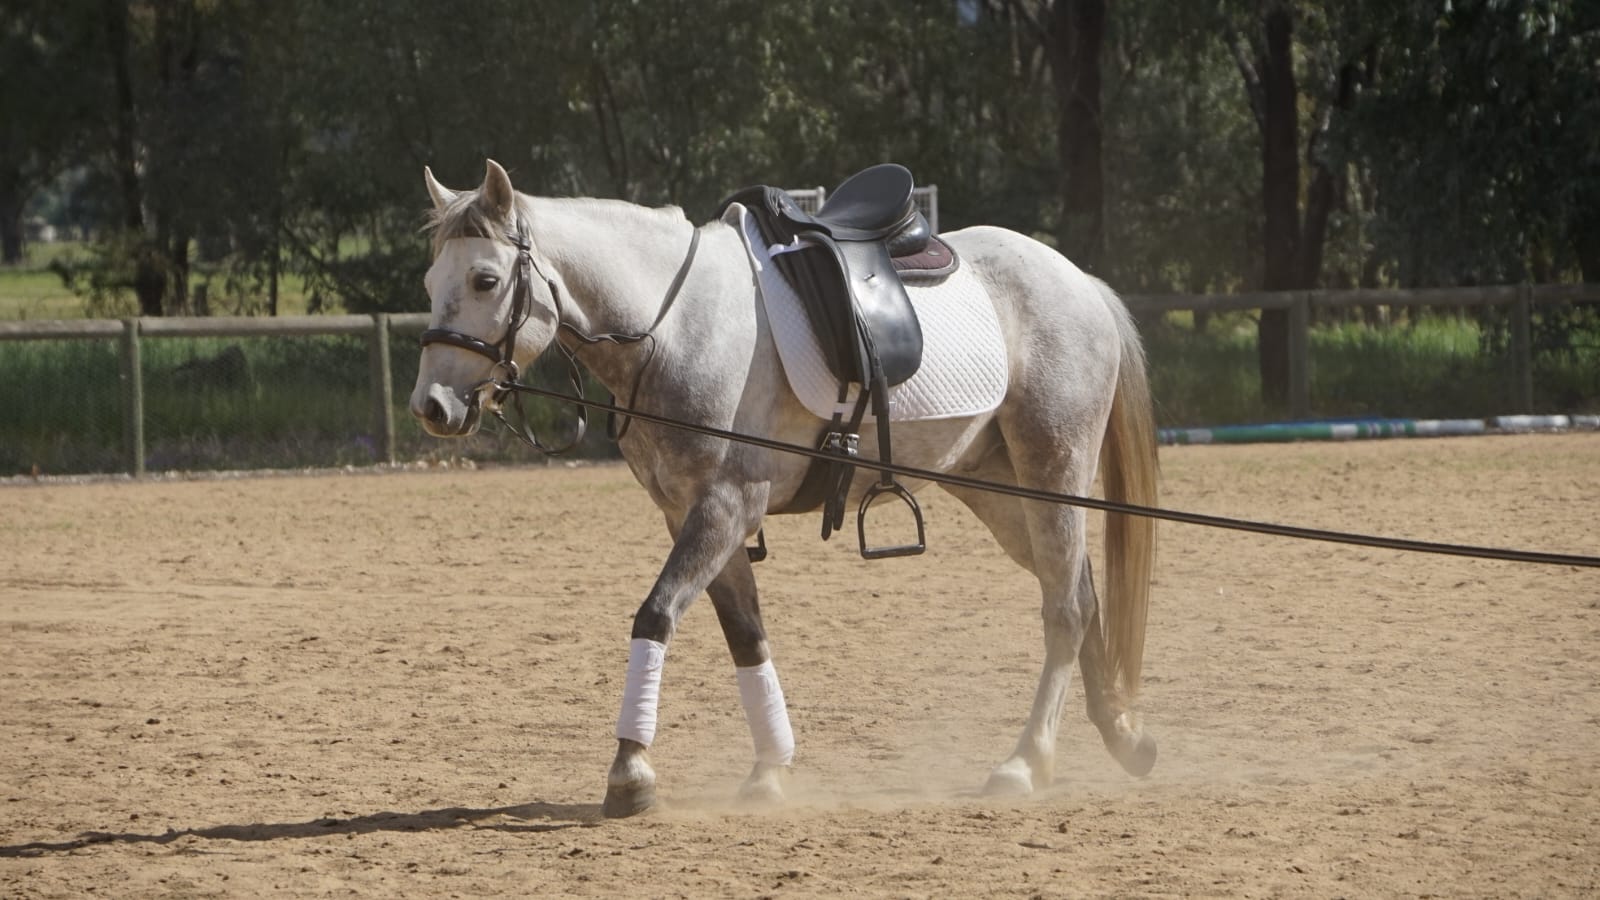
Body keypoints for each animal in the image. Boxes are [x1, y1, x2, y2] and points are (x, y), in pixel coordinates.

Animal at [409, 160, 1160, 818]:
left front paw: (630, 771)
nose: (433, 407)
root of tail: (1079, 281)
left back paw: (1026, 761)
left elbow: (656, 615)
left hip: (1052, 465)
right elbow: (746, 636)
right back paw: (1121, 735)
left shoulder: (725, 505)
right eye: (429, 279)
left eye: (484, 279)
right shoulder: (695, 513)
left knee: (1065, 608)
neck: (673, 326)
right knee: (1080, 591)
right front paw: (770, 769)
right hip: (998, 488)